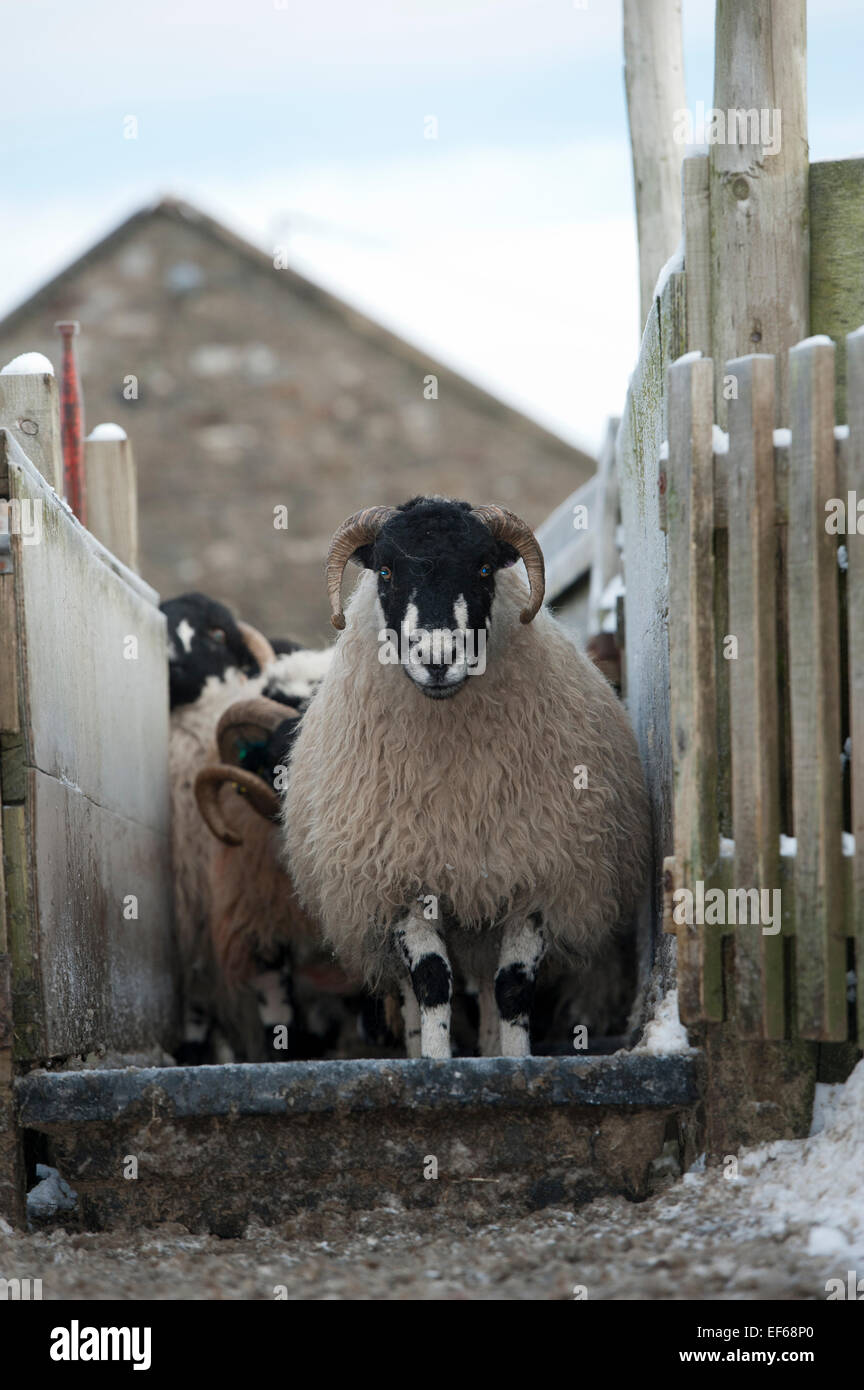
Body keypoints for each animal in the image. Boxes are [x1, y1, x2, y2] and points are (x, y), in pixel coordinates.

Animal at [282, 496, 651, 1059]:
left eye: (483, 569)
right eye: (385, 571)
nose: (437, 659)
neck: (459, 786)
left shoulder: (536, 870)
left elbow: (513, 989)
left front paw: (514, 1061)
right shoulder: (400, 876)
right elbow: (433, 983)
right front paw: (436, 1063)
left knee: (491, 995)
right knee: (413, 995)